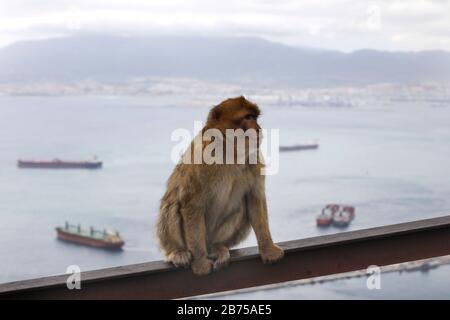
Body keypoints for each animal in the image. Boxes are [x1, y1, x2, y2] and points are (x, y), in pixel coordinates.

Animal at [156, 95, 284, 276]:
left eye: (255, 118)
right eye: (248, 117)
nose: (258, 129)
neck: (229, 151)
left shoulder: (254, 158)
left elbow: (255, 198)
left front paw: (268, 249)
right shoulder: (200, 159)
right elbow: (191, 204)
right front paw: (201, 262)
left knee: (241, 208)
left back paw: (217, 247)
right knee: (172, 204)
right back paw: (177, 251)